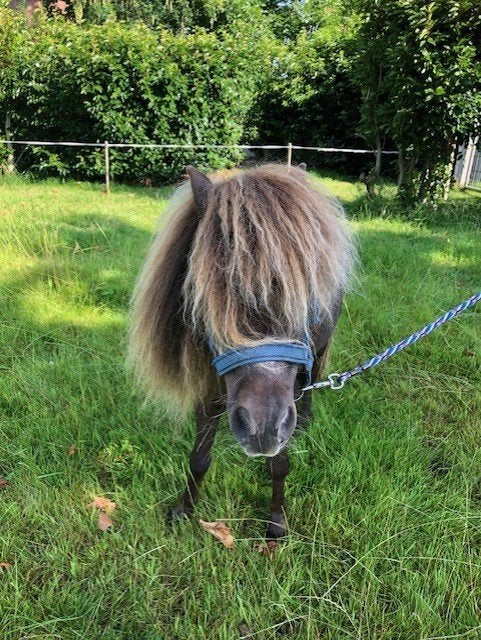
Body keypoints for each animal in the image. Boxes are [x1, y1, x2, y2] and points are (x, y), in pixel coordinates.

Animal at [128, 163, 355, 539]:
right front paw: (183, 510)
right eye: (208, 289)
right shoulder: (209, 385)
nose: (261, 428)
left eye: (306, 295)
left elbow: (279, 463)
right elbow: (199, 457)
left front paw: (276, 522)